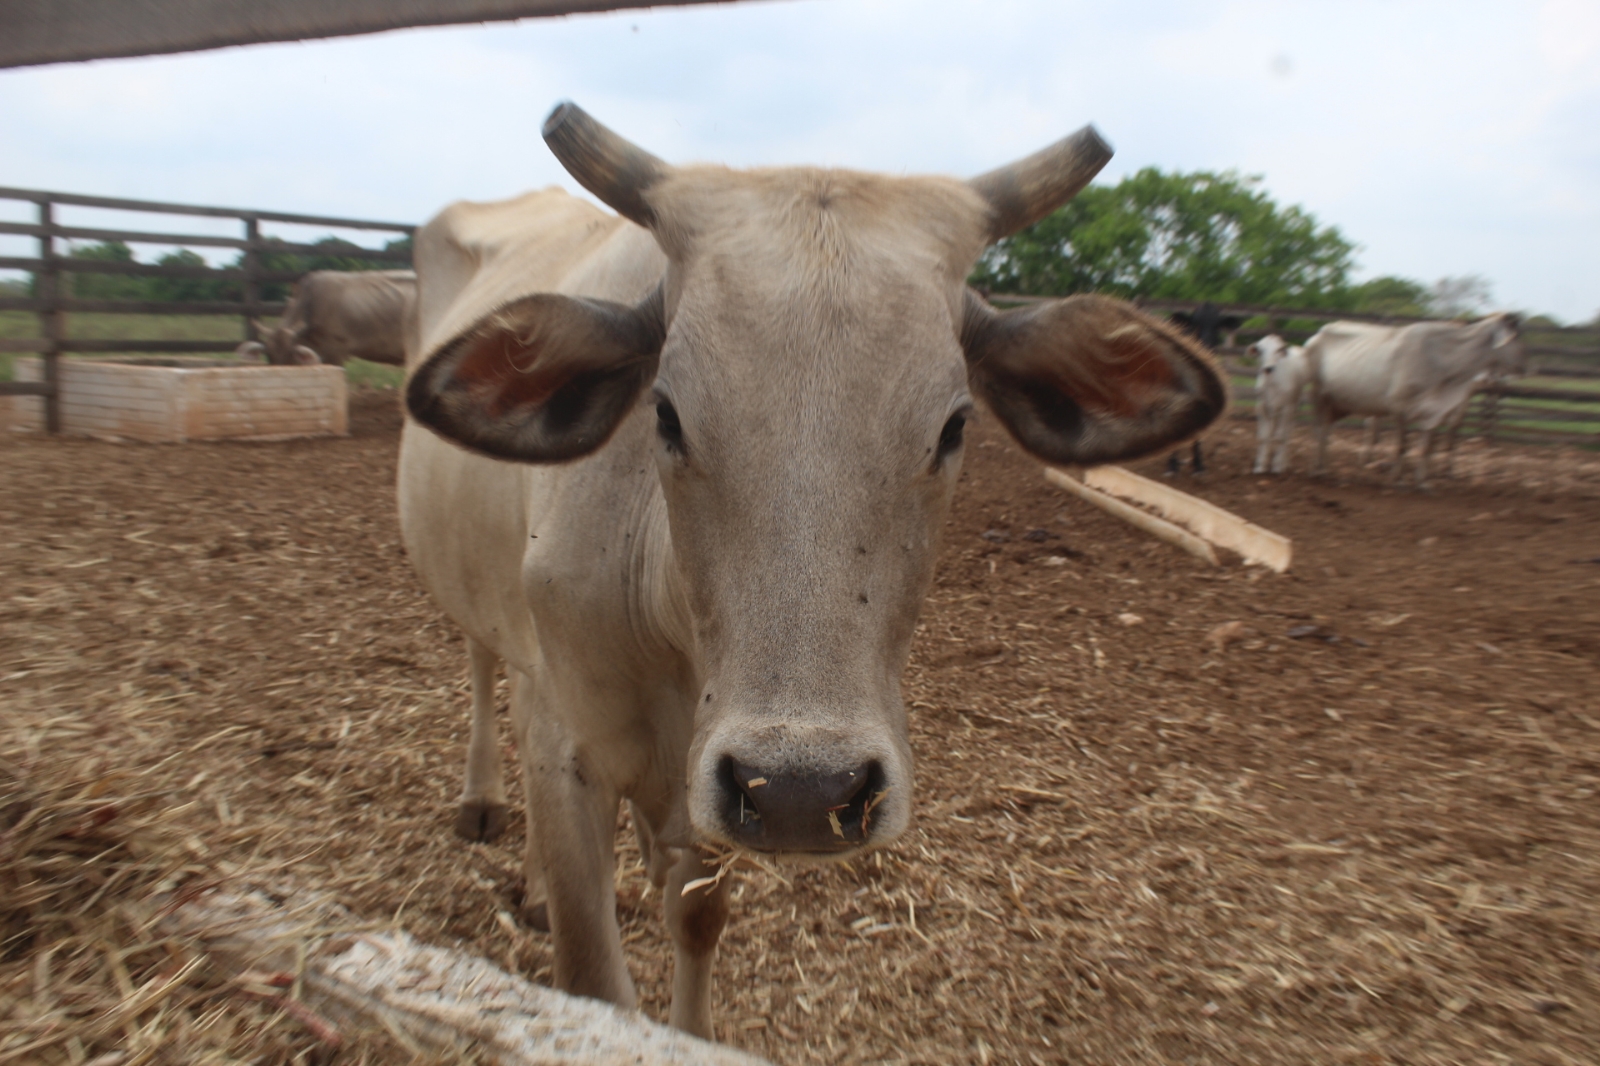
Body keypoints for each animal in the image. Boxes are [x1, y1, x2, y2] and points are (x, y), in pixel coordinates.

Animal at [400, 104, 1222, 1030]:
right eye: (666, 413)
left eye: (954, 425)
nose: (804, 792)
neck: (677, 636)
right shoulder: (568, 751)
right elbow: (593, 981)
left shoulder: (704, 791)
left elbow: (697, 918)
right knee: (485, 668)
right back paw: (488, 809)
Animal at [1248, 334, 1312, 470]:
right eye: (1260, 350)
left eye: (1278, 350)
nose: (1268, 368)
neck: (1272, 382)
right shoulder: (1261, 407)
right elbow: (1263, 437)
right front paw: (1260, 466)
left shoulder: (1286, 408)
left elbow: (1281, 437)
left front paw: (1277, 466)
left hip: (1293, 407)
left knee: (1287, 433)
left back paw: (1284, 462)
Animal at [1305, 313, 1516, 483]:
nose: (1490, 379)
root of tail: (1325, 329)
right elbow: (1412, 443)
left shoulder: (1451, 412)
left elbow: (1442, 443)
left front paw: (1442, 473)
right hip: (1327, 396)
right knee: (1336, 429)